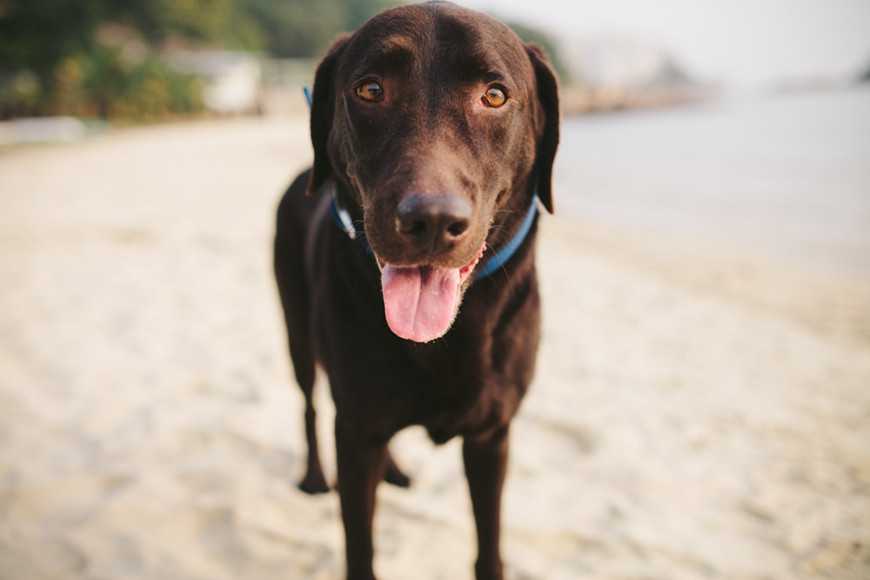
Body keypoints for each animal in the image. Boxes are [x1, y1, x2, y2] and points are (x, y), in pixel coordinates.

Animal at [274, 2, 560, 576]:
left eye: (495, 95)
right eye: (370, 90)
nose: (431, 220)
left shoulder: (491, 435)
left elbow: (488, 546)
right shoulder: (355, 430)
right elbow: (359, 547)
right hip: (297, 331)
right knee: (309, 403)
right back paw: (314, 477)